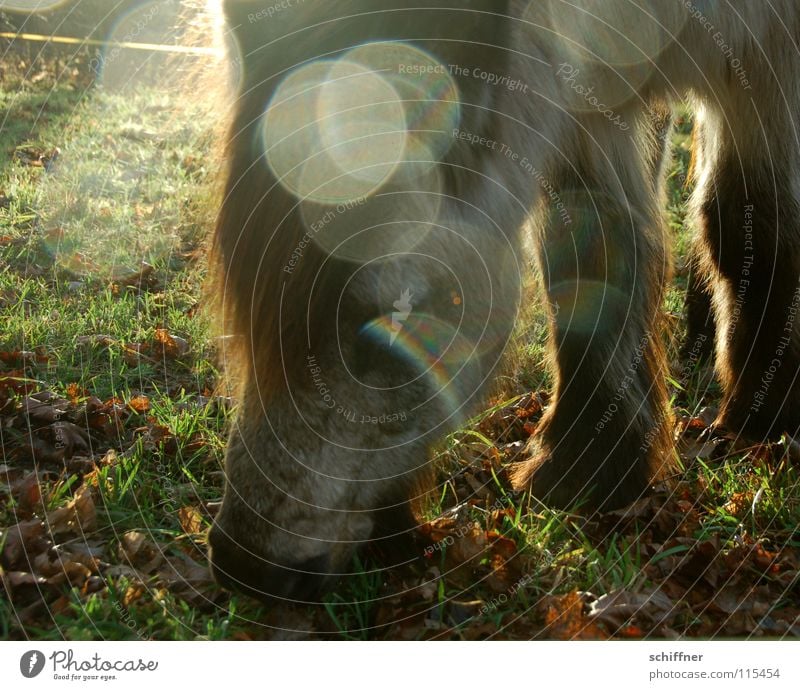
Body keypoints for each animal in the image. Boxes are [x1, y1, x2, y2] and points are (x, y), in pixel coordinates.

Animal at [205, 0, 800, 600]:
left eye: (390, 321)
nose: (241, 565)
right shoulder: (577, 91)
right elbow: (589, 255)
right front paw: (590, 466)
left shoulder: (767, 57)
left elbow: (746, 214)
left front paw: (762, 417)